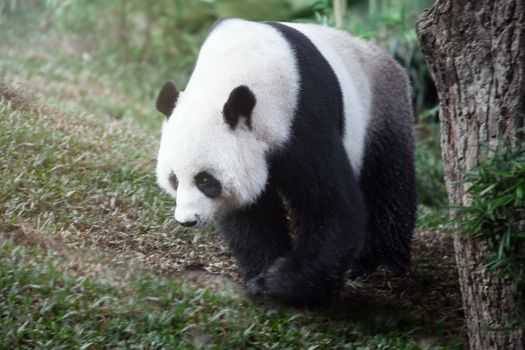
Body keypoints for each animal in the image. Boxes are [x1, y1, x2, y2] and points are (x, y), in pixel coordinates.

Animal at [154, 17, 416, 304]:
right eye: (174, 180)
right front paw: (263, 272)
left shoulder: (301, 117)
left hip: (382, 108)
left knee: (388, 183)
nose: (187, 220)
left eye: (205, 180)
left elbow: (330, 204)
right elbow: (252, 214)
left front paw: (281, 281)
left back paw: (380, 263)